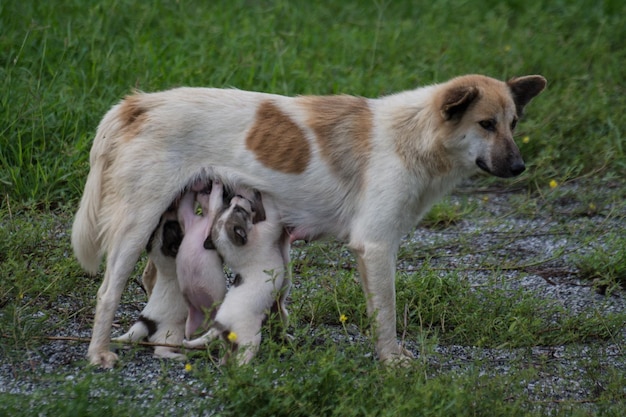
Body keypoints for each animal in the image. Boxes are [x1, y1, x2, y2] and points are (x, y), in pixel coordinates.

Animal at [184, 184, 292, 362]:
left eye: (232, 207)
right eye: (238, 210)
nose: (237, 196)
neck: (233, 247)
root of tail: (220, 322)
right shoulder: (269, 226)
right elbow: (271, 208)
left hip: (226, 342)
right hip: (249, 340)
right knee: (241, 360)